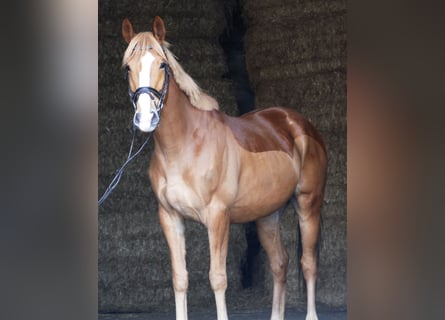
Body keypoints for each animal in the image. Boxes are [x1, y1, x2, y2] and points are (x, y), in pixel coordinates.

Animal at [120, 16, 326, 320]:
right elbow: (179, 278)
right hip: (267, 215)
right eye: (128, 67)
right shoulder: (170, 217)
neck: (185, 144)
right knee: (280, 262)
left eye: (162, 65)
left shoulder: (218, 217)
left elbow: (217, 278)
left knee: (308, 263)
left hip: (308, 205)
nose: (146, 119)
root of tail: (297, 122)